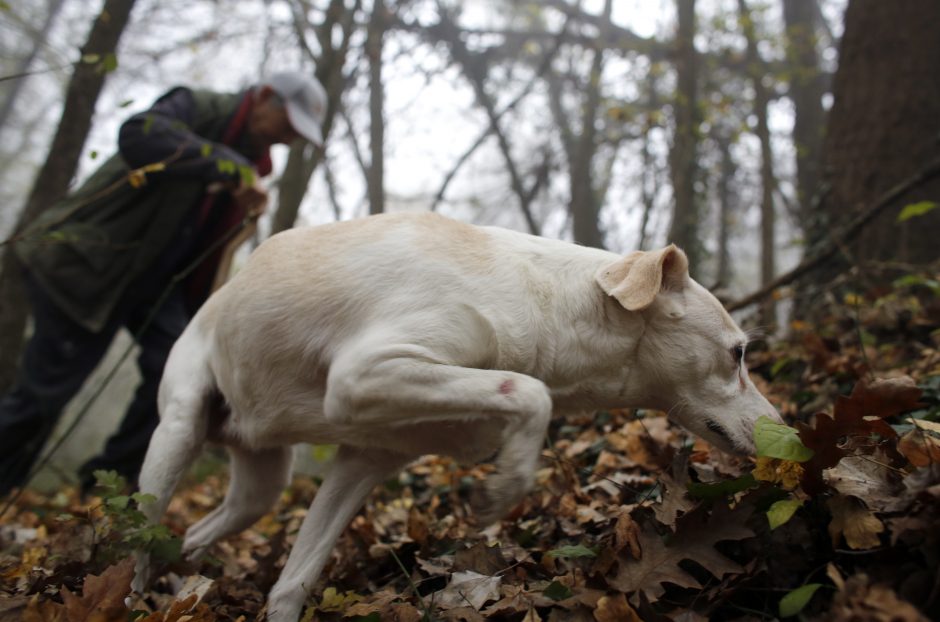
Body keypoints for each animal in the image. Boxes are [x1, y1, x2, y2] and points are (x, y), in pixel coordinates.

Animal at [132, 212, 780, 620]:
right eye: (737, 353)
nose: (788, 435)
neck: (548, 301)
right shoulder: (363, 374)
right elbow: (530, 393)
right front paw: (507, 485)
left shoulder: (366, 458)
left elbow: (292, 585)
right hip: (177, 436)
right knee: (138, 540)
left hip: (261, 488)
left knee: (191, 534)